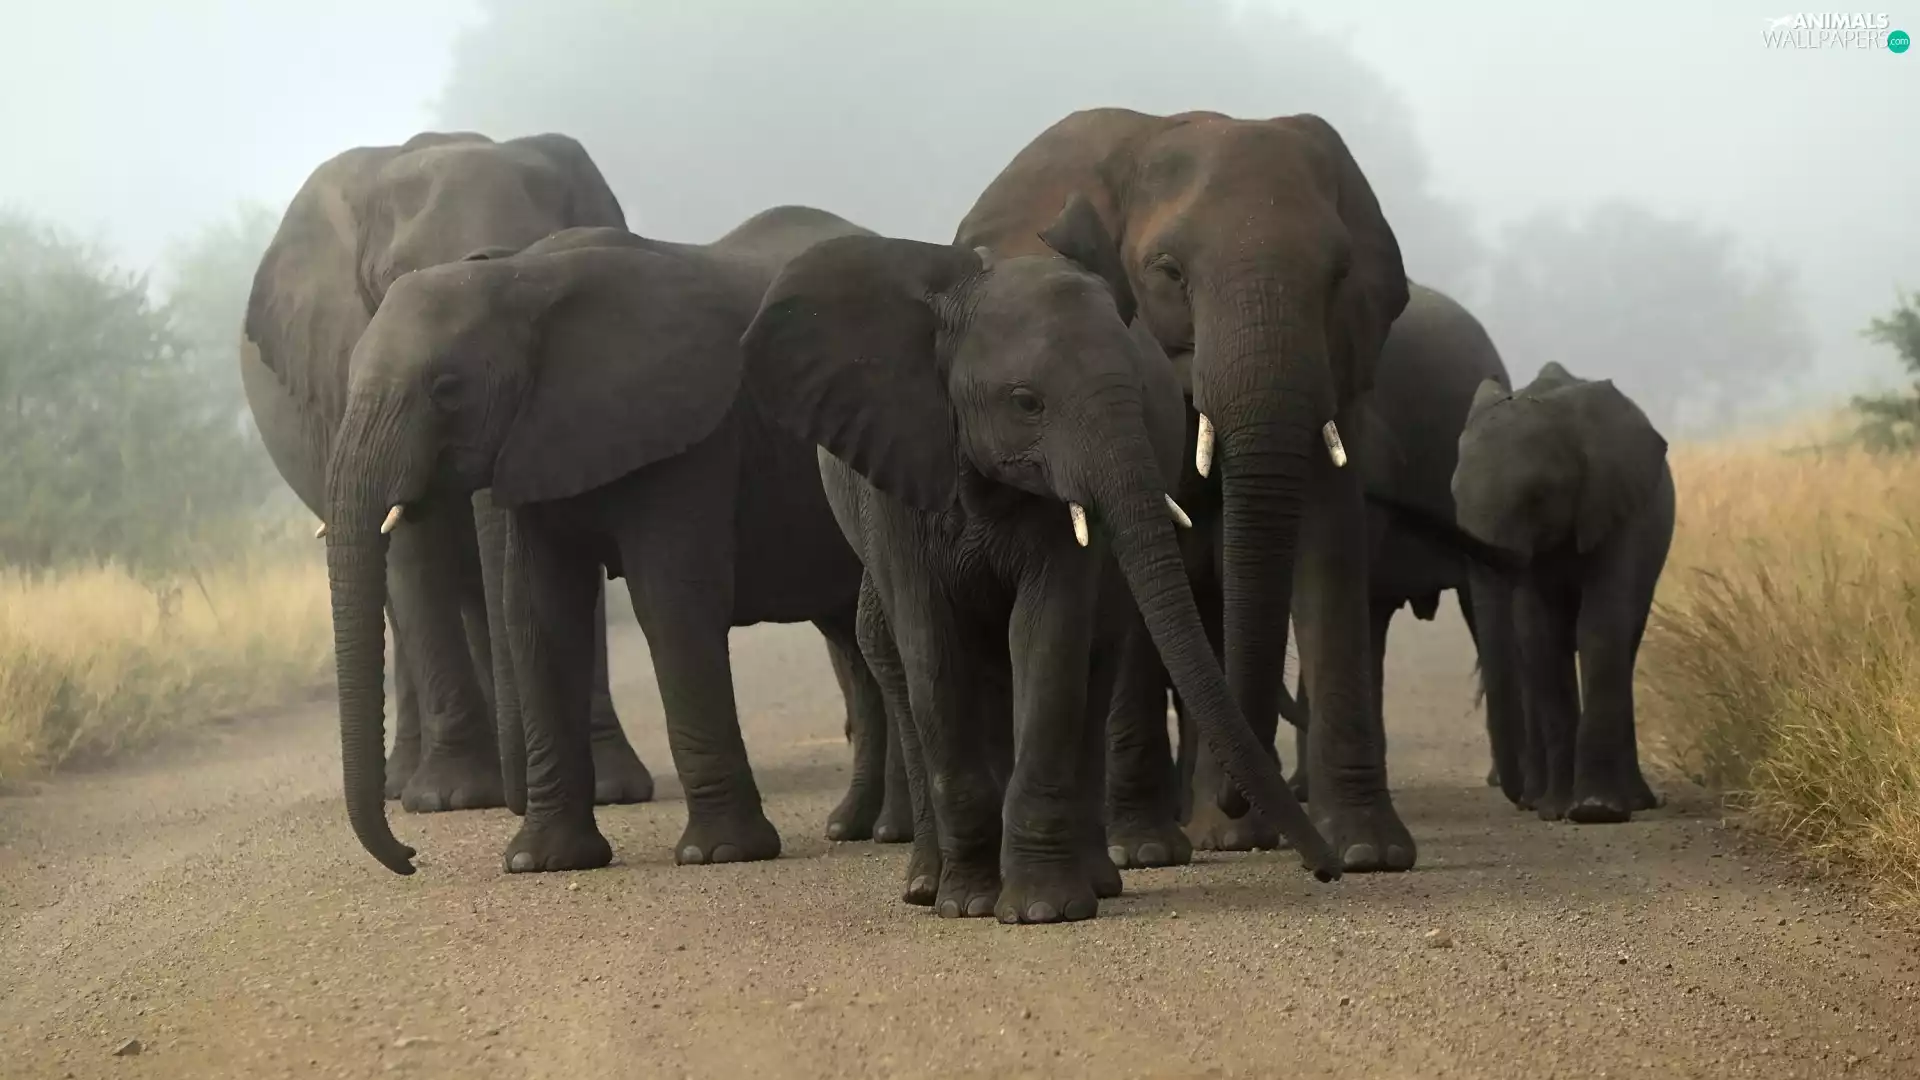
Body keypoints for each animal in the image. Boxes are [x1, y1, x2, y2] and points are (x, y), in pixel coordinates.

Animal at [241, 130, 653, 813]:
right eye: (394, 284)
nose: (521, 798)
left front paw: (610, 789)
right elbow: (413, 551)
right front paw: (453, 798)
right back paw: (411, 785)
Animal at [321, 207, 891, 875]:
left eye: (447, 388)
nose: (411, 856)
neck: (521, 277)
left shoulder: (689, 430)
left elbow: (671, 601)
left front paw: (719, 854)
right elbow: (539, 613)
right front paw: (540, 863)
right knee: (851, 639)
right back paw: (858, 827)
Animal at [738, 195, 1339, 925]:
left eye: (1140, 393)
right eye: (1026, 402)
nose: (1327, 871)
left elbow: (1048, 638)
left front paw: (1042, 910)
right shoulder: (899, 477)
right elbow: (932, 649)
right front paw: (968, 905)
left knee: (1093, 662)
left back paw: (1095, 882)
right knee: (904, 668)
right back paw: (926, 887)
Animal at [955, 108, 1415, 872]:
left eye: (1340, 274)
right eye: (1167, 272)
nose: (1235, 799)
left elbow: (1330, 549)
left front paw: (1369, 853)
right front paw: (1143, 849)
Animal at [1451, 361, 1673, 823]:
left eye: (1537, 497)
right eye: (1453, 497)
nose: (1515, 797)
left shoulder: (1614, 507)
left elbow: (1600, 627)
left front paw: (1596, 811)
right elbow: (1540, 636)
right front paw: (1556, 810)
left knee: (1625, 646)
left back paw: (1631, 801)